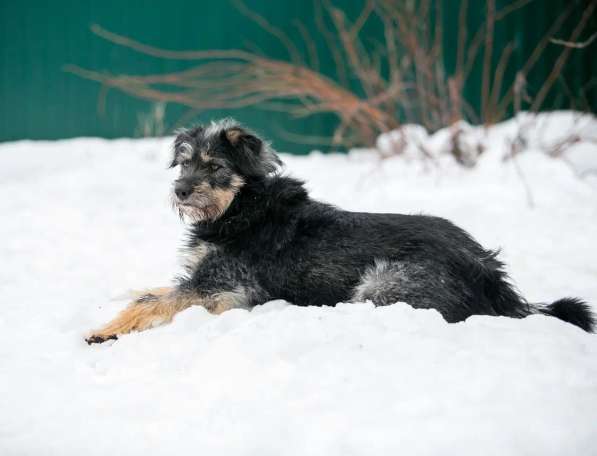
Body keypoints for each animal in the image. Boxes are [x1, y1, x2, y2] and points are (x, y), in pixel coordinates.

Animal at [86, 119, 592, 344]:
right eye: (184, 162)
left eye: (213, 166)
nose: (180, 192)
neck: (240, 208)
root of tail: (494, 278)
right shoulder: (199, 279)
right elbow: (149, 290)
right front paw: (112, 298)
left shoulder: (224, 288)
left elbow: (153, 301)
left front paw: (104, 331)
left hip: (383, 285)